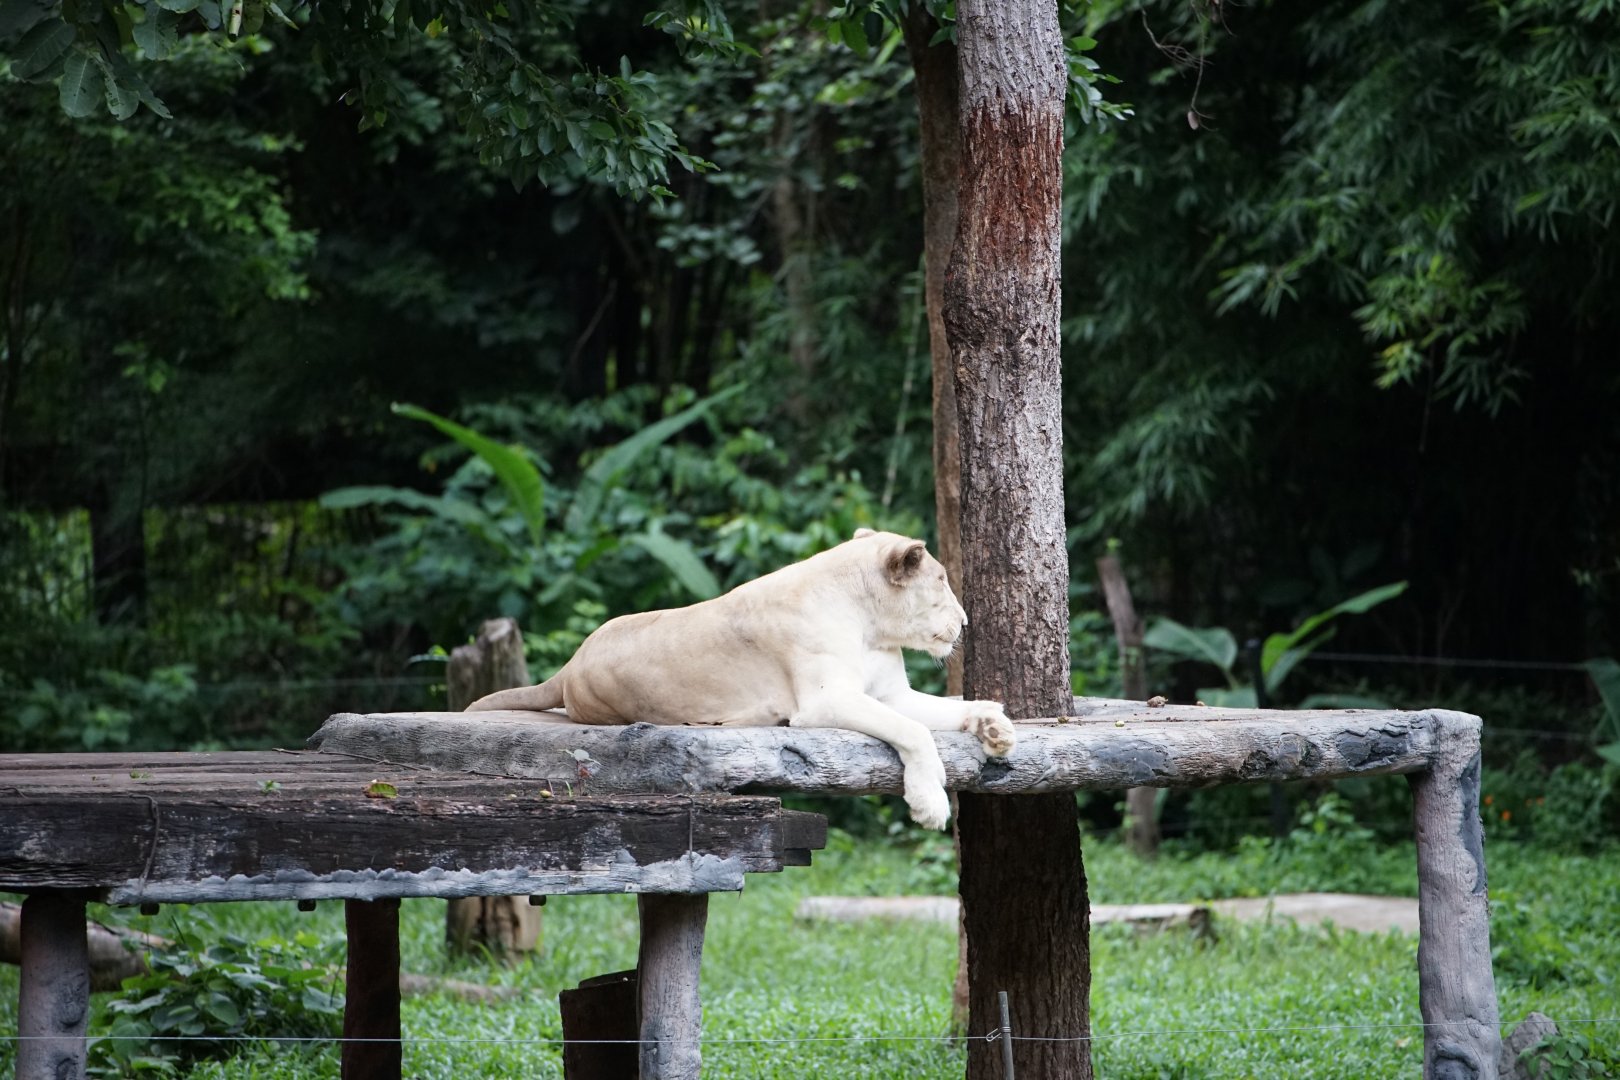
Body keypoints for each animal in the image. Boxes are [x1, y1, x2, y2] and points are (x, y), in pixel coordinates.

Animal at [465, 528, 1016, 829]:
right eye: (941, 583)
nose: (966, 622)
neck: (872, 626)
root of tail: (572, 663)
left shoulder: (891, 693)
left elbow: (947, 710)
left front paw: (995, 727)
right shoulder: (822, 702)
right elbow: (914, 731)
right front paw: (930, 803)